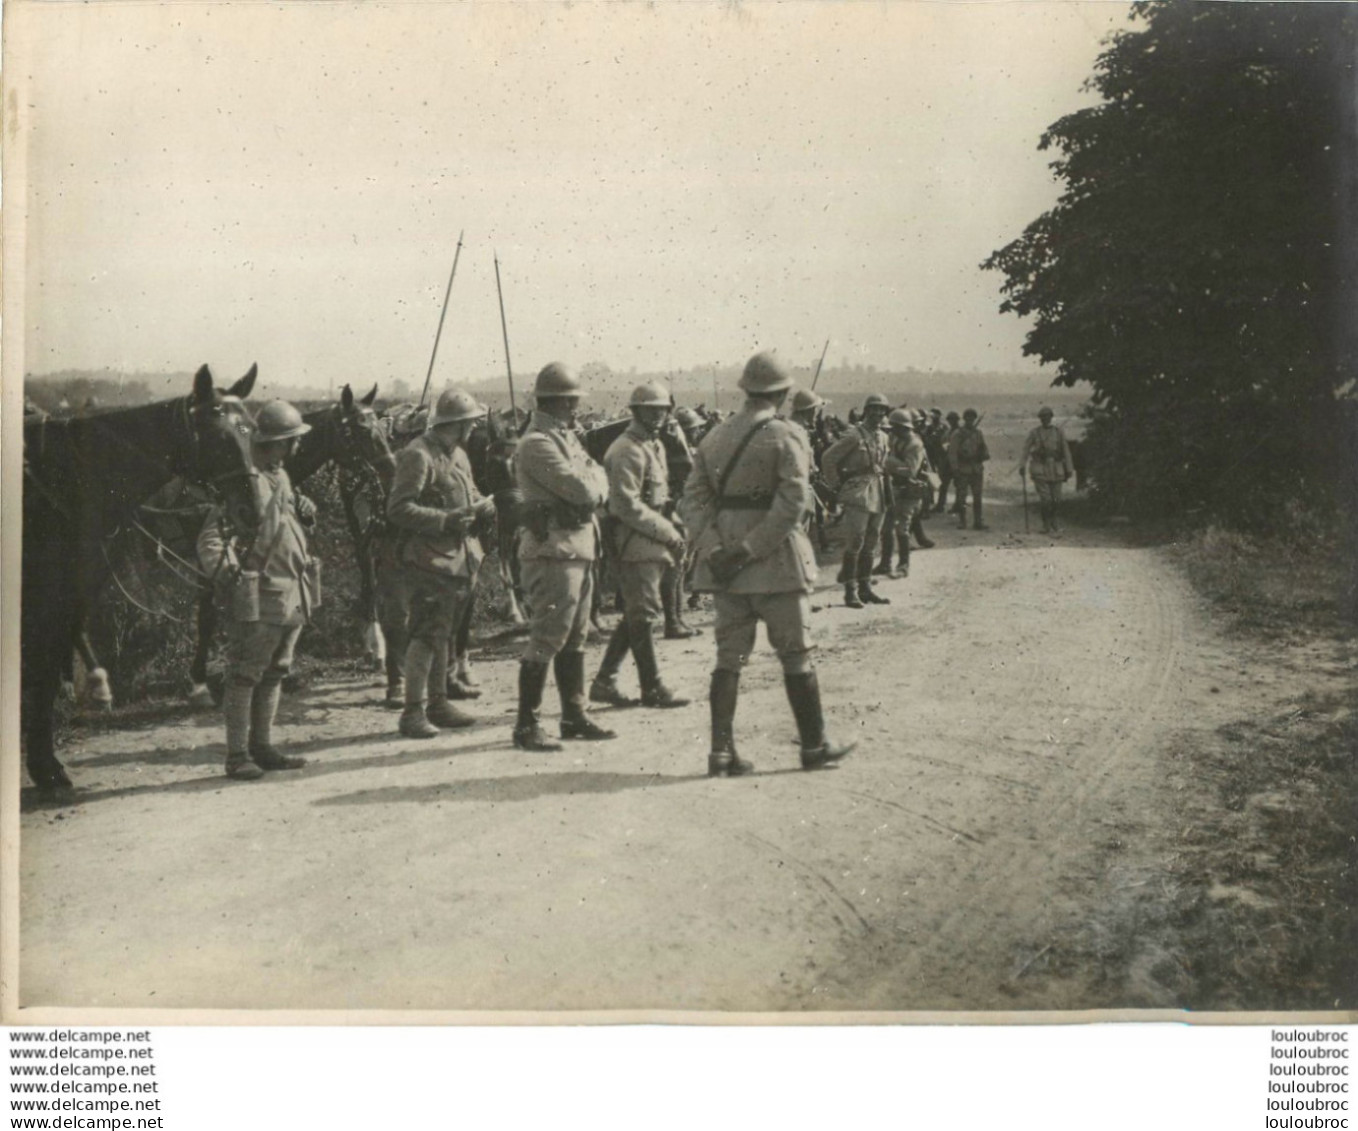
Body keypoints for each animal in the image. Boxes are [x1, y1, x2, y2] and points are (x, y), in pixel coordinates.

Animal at [21, 366, 259, 787]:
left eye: (251, 429)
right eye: (218, 436)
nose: (252, 511)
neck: (66, 476)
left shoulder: (68, 593)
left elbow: (47, 670)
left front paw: (47, 767)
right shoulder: (45, 599)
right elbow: (41, 670)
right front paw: (46, 770)